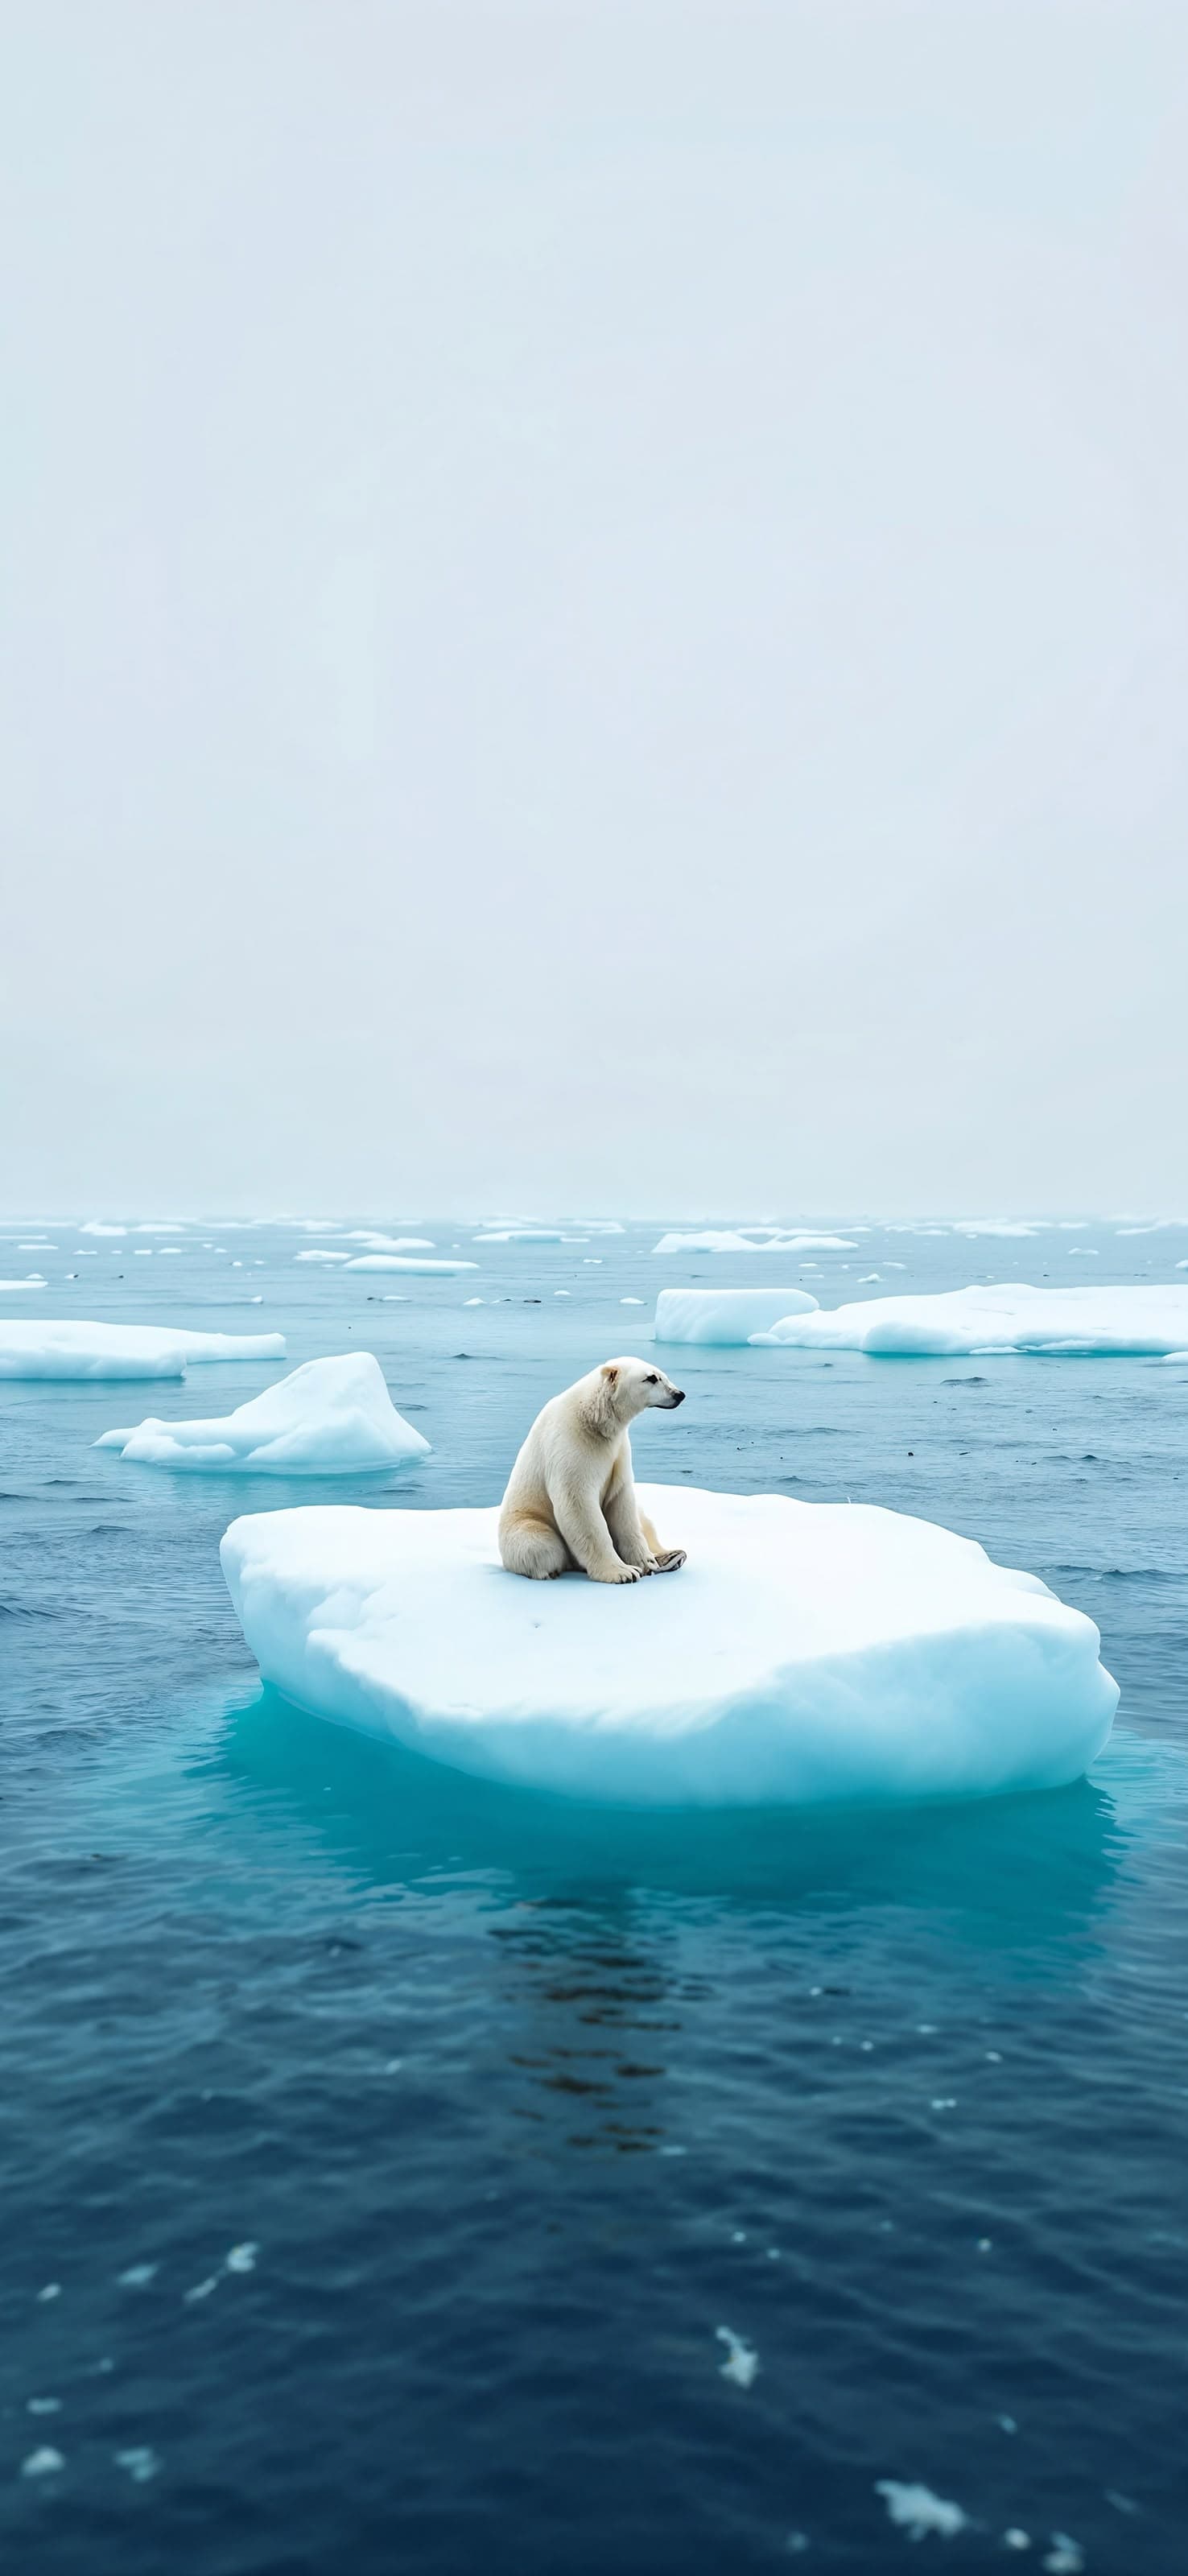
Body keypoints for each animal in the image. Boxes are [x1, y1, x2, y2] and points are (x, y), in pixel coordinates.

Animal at [498, 1357, 688, 1582]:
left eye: (663, 1375)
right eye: (651, 1378)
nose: (679, 1394)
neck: (595, 1418)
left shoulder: (618, 1451)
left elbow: (623, 1504)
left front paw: (646, 1562)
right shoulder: (571, 1445)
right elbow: (579, 1506)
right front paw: (623, 1572)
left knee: (644, 1518)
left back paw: (671, 1556)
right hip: (525, 1521)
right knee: (540, 1546)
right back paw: (552, 1570)